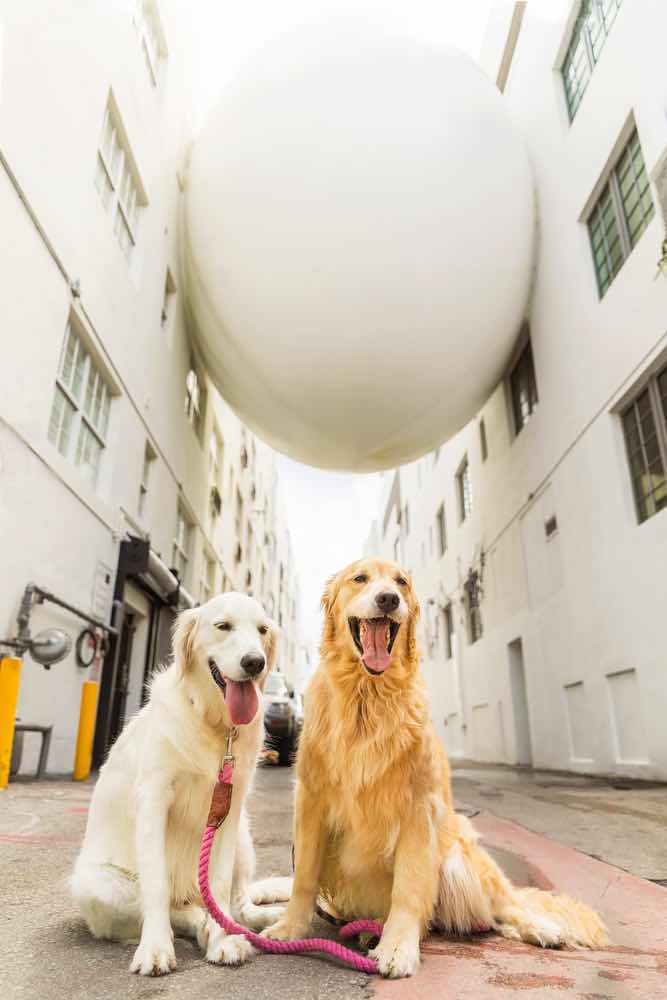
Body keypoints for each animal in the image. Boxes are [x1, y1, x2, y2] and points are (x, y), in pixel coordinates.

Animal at [70, 592, 290, 976]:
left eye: (262, 630)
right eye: (223, 626)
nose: (255, 662)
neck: (215, 724)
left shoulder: (229, 808)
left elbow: (219, 885)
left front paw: (223, 939)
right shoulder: (154, 798)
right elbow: (157, 885)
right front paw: (156, 948)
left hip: (243, 839)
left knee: (238, 904)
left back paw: (258, 921)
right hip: (97, 884)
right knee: (177, 909)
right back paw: (198, 924)